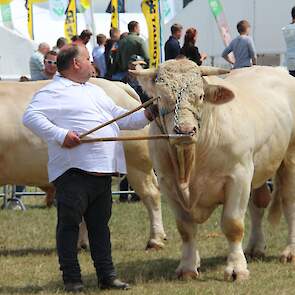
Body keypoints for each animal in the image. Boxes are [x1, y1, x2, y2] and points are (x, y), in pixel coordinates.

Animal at [132, 59, 295, 280]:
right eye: (161, 97)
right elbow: (185, 228)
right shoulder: (168, 184)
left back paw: (289, 251)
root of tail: (278, 70)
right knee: (257, 206)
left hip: (289, 160)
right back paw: (255, 247)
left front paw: (236, 269)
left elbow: (233, 224)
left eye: (201, 96)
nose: (184, 130)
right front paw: (188, 266)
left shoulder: (238, 176)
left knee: (289, 203)